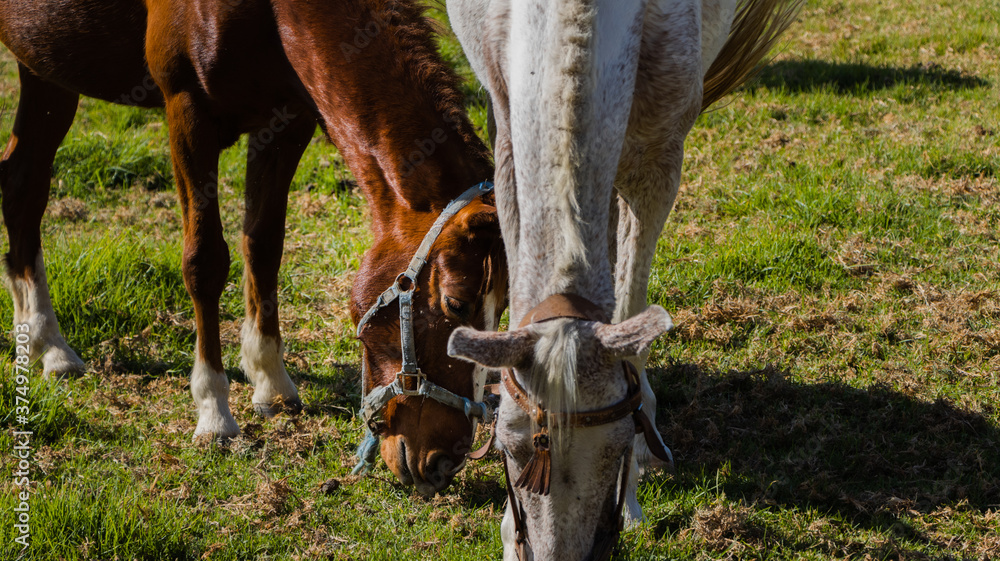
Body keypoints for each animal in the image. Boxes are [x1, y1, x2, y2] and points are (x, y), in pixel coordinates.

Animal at [0, 0, 505, 495]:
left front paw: (269, 379)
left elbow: (264, 246)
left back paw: (41, 340)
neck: (273, 12)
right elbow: (205, 261)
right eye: (456, 304)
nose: (445, 462)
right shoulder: (188, 111)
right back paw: (50, 341)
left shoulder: (286, 121)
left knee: (22, 184)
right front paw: (214, 412)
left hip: (43, 68)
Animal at [446, 0, 799, 558]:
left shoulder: (660, 158)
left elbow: (632, 321)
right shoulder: (506, 135)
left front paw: (632, 499)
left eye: (615, 450)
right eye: (507, 445)